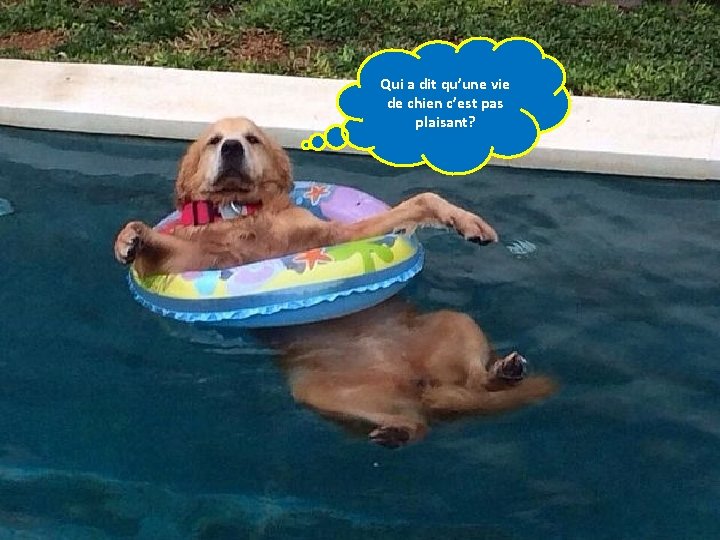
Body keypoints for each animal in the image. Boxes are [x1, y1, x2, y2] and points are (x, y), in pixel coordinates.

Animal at [114, 117, 555, 448]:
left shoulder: (337, 236)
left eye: (251, 138)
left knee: (473, 384)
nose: (233, 148)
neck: (243, 213)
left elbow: (420, 200)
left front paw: (466, 222)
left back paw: (503, 371)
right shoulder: (195, 259)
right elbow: (152, 248)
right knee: (418, 421)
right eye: (214, 141)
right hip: (318, 391)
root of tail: (416, 383)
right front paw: (129, 239)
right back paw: (399, 429)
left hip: (455, 322)